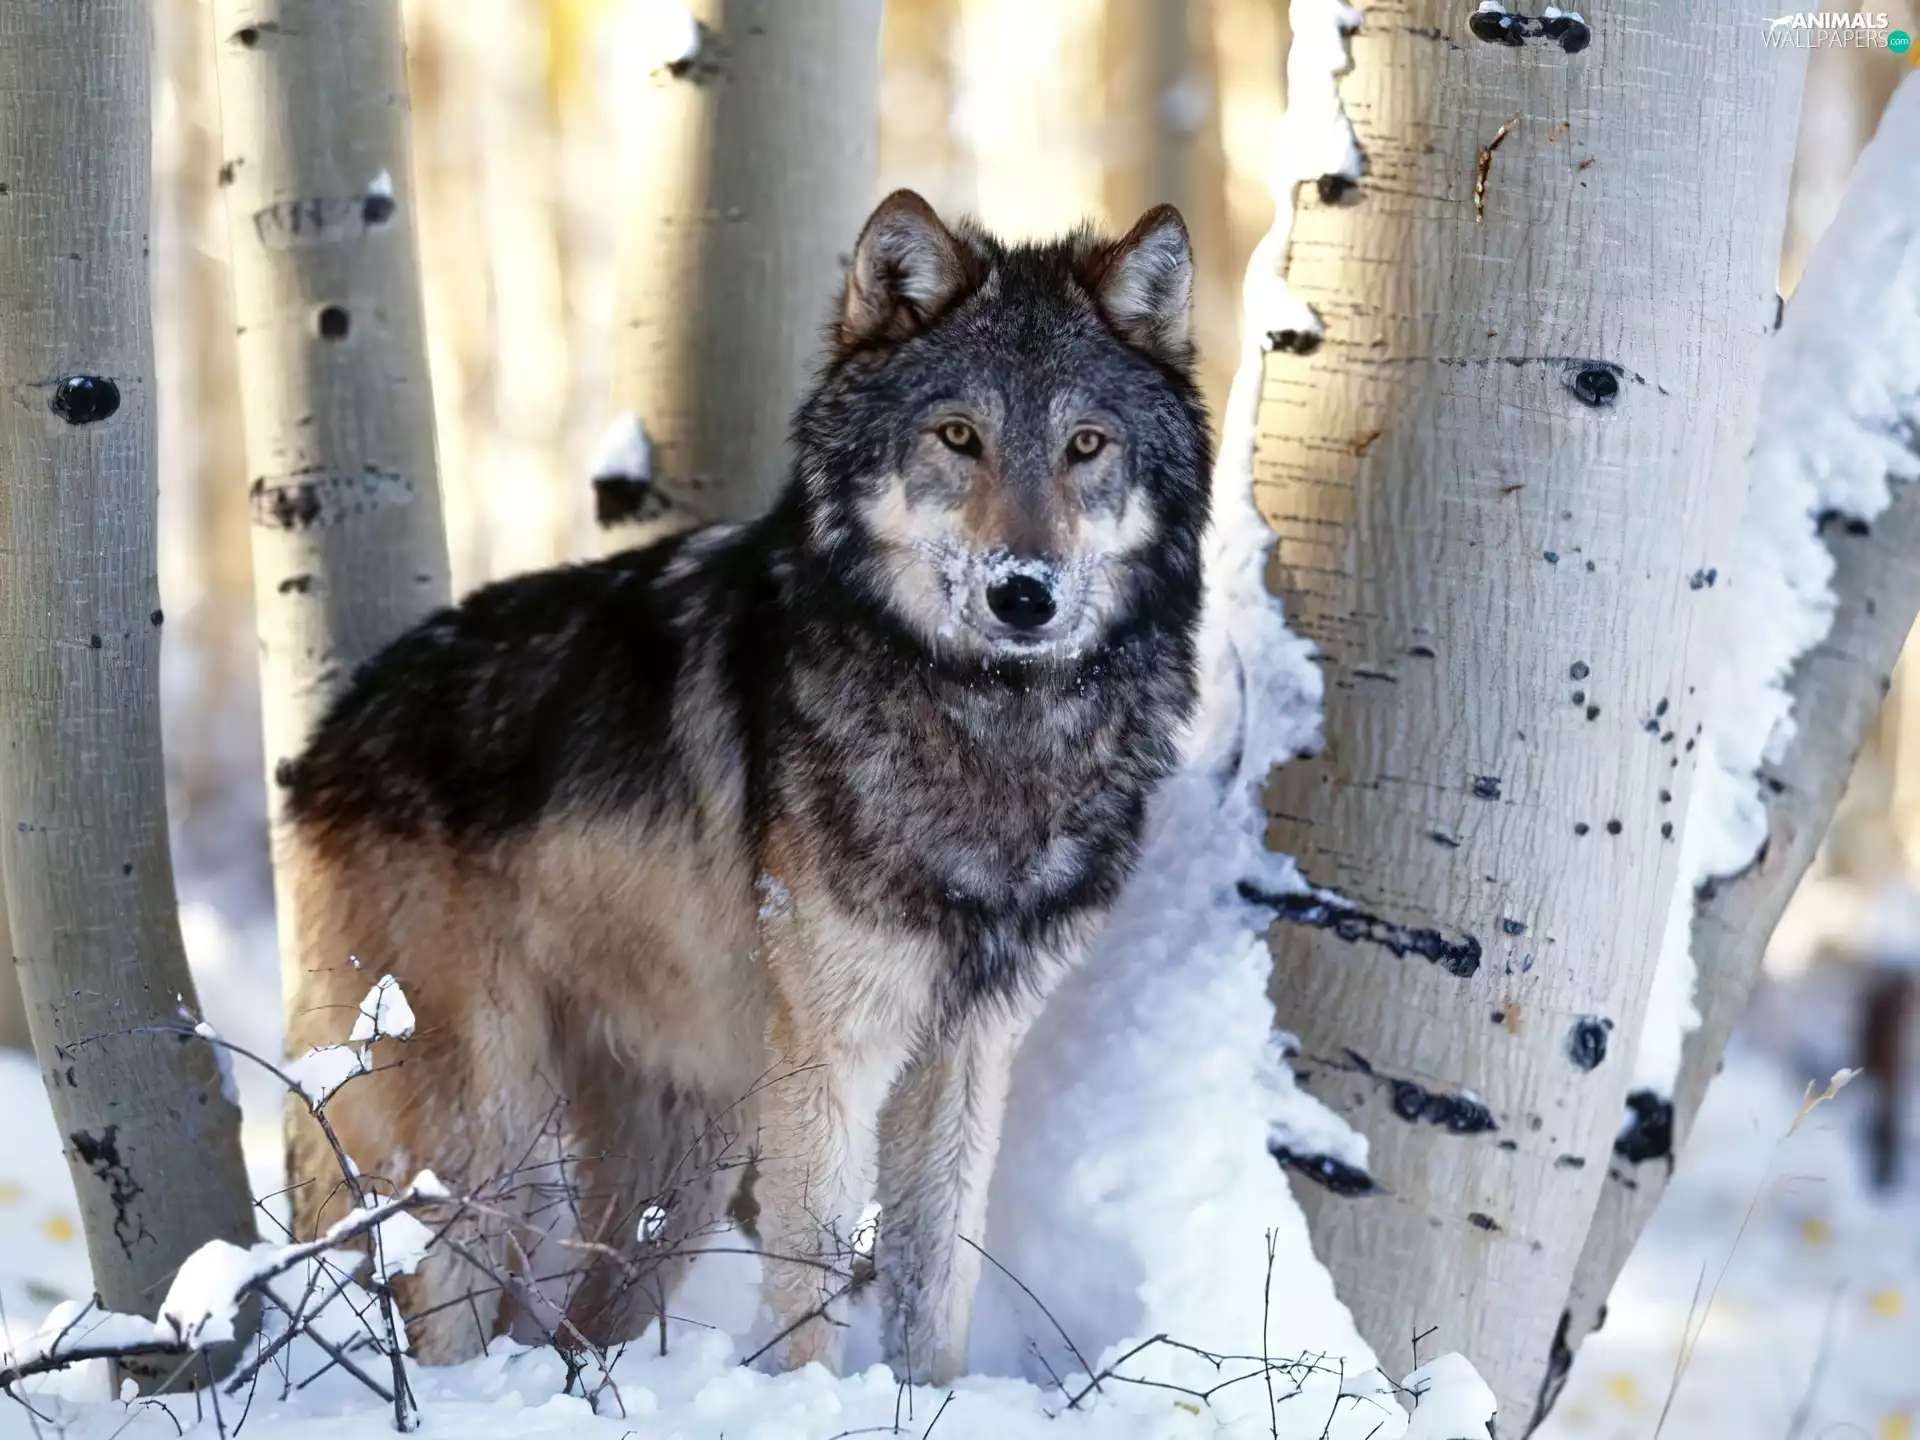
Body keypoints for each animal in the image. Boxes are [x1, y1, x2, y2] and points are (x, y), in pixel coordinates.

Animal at [282, 189, 1211, 1383]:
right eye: (959, 435)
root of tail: (324, 742)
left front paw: (929, 1398)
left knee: (574, 1329)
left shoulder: (967, 1053)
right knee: (442, 1315)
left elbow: (934, 1287)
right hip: (488, 1137)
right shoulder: (833, 1056)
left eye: (1085, 445)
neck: (989, 723)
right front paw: (816, 1401)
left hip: (683, 1166)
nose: (1024, 593)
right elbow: (810, 1289)